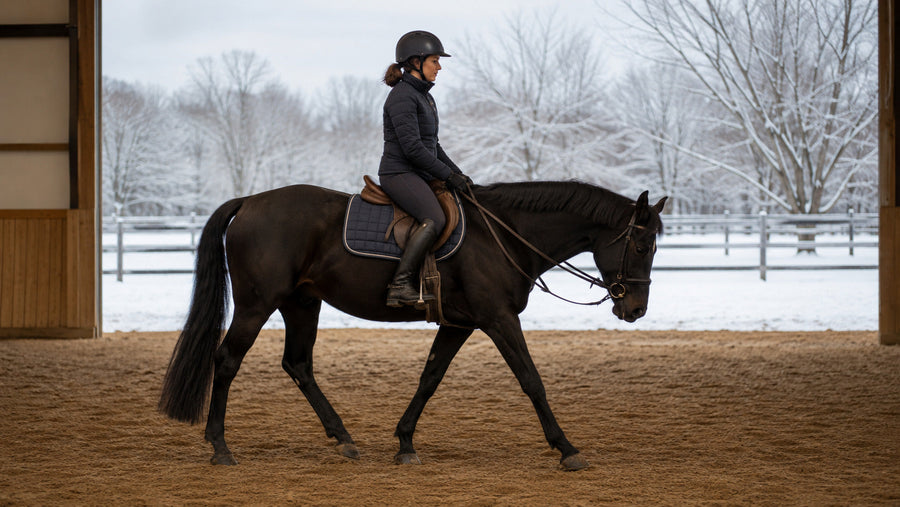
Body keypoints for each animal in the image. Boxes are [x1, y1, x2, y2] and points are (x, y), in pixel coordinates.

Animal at [158, 180, 667, 471]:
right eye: (643, 247)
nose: (635, 310)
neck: (502, 235)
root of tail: (249, 203)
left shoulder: (460, 324)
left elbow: (430, 378)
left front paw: (404, 442)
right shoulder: (498, 319)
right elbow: (531, 380)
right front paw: (566, 448)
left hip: (302, 303)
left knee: (298, 364)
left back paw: (343, 439)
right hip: (256, 304)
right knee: (227, 360)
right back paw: (220, 447)